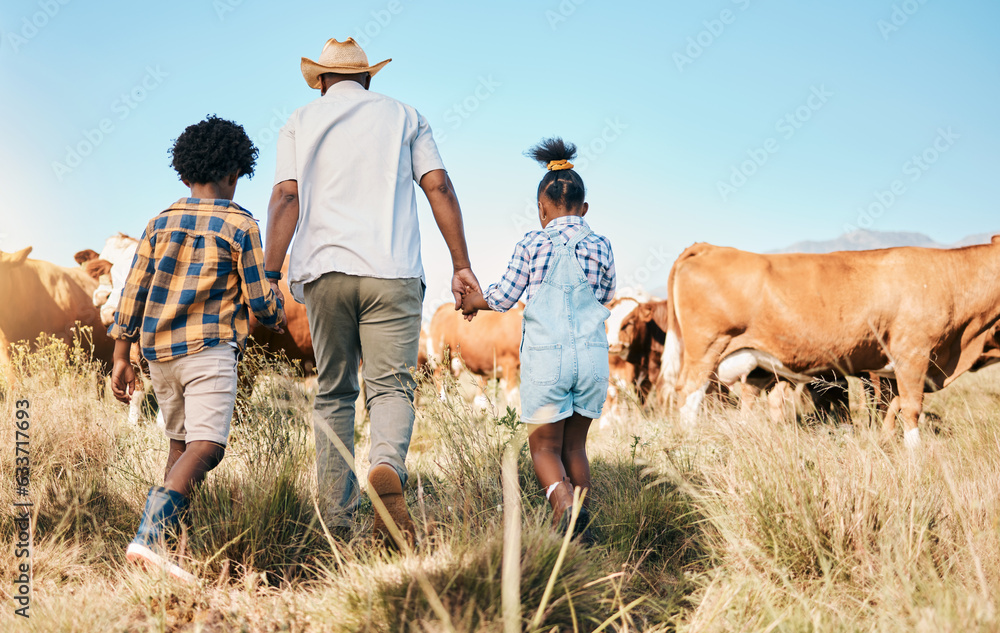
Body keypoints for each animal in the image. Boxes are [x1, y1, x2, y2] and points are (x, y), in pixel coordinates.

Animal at [668, 235, 1000, 446]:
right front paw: (915, 454)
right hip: (706, 350)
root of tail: (709, 247)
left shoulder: (894, 369)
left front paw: (885, 441)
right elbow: (911, 408)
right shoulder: (913, 354)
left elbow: (891, 407)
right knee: (688, 398)